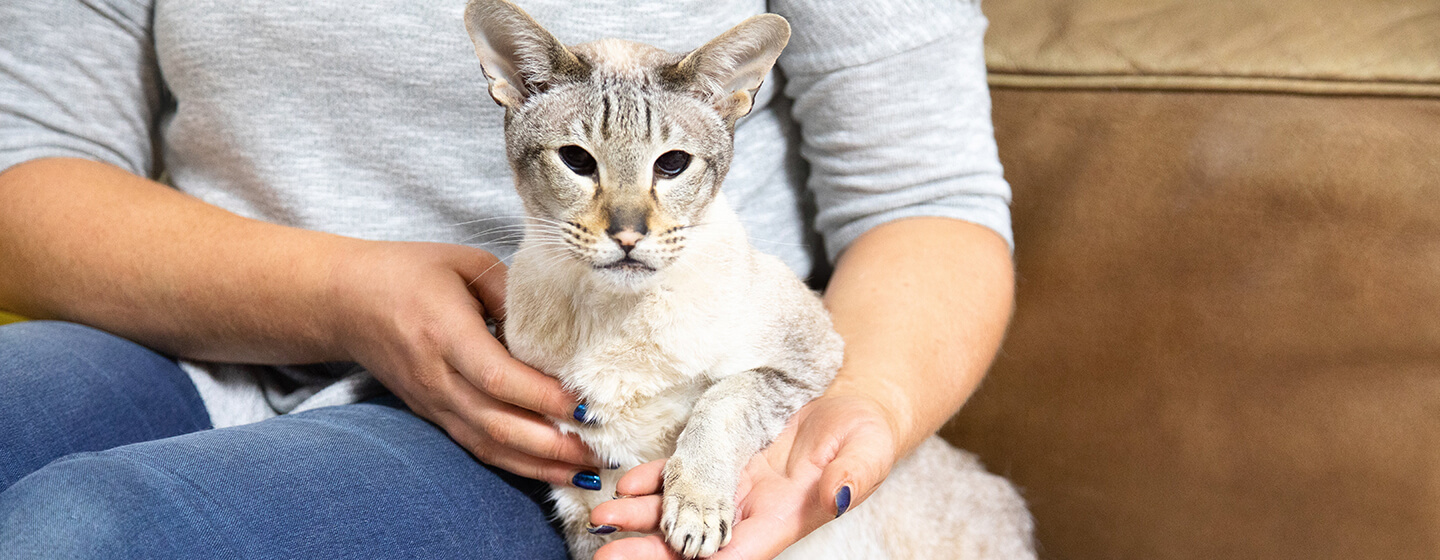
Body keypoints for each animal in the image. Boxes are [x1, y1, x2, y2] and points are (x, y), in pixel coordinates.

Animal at [460, 2, 1036, 555]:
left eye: (672, 165)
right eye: (577, 161)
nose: (627, 236)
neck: (614, 314)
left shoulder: (806, 361)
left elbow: (719, 405)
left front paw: (694, 512)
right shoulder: (587, 505)